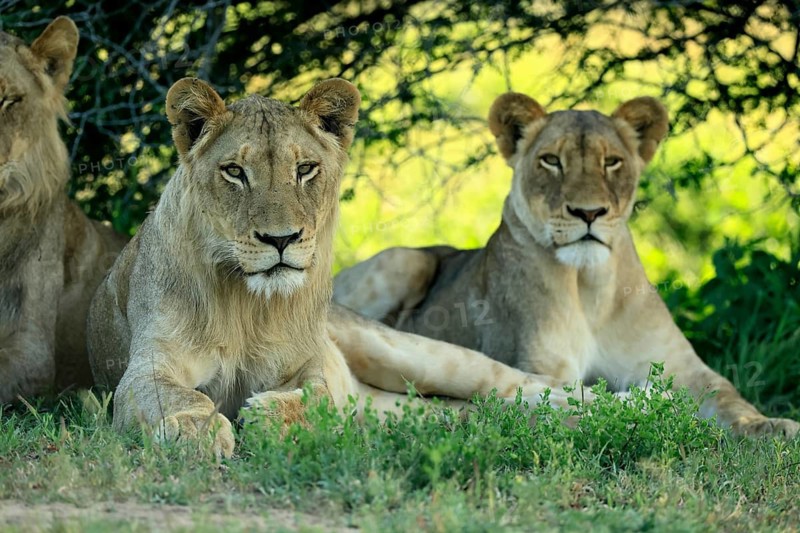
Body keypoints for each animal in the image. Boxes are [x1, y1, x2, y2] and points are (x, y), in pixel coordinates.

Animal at [87, 78, 583, 458]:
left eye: (305, 169)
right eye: (234, 171)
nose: (281, 239)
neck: (245, 303)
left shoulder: (311, 361)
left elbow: (319, 396)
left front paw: (271, 418)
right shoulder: (147, 367)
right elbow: (175, 395)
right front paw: (196, 430)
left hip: (401, 350)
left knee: (514, 380)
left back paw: (587, 404)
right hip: (400, 402)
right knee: (459, 407)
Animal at [334, 93, 799, 439]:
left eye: (612, 161)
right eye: (551, 161)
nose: (588, 212)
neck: (590, 284)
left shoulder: (682, 367)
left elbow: (731, 396)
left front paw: (772, 426)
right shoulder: (546, 366)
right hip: (403, 260)